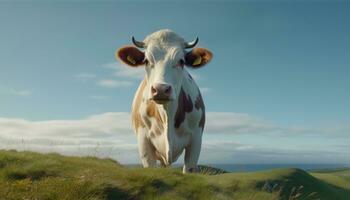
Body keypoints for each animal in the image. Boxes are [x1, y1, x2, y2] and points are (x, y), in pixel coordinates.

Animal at [116, 29, 212, 173]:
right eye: (146, 61)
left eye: (181, 61)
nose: (161, 89)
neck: (167, 115)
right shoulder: (143, 140)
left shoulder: (196, 139)